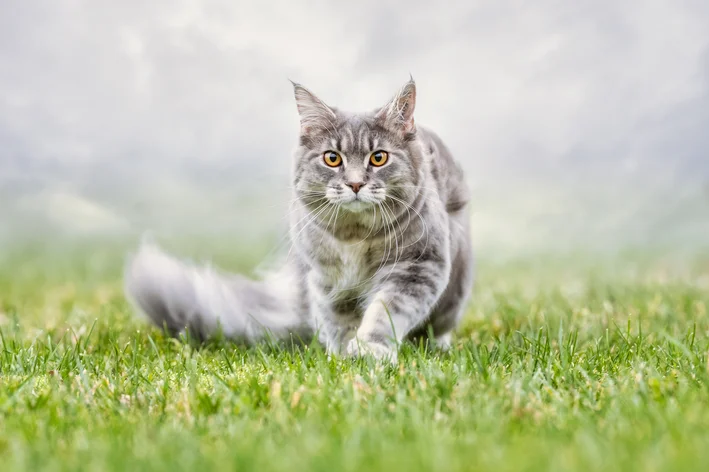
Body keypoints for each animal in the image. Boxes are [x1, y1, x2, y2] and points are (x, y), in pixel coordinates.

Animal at [124, 78, 472, 362]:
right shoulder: (329, 281)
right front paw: (343, 356)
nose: (355, 184)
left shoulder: (418, 266)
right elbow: (341, 322)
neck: (356, 237)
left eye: (378, 158)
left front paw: (370, 349)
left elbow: (384, 311)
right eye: (332, 158)